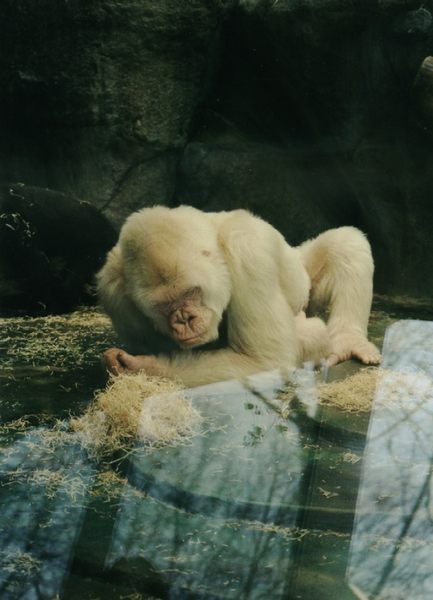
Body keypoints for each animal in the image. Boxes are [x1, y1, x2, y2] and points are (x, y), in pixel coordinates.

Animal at [97, 204, 378, 386]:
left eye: (192, 291)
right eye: (163, 305)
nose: (185, 319)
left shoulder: (247, 250)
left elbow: (263, 360)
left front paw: (146, 368)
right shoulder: (111, 289)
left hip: (303, 274)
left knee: (346, 244)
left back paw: (348, 341)